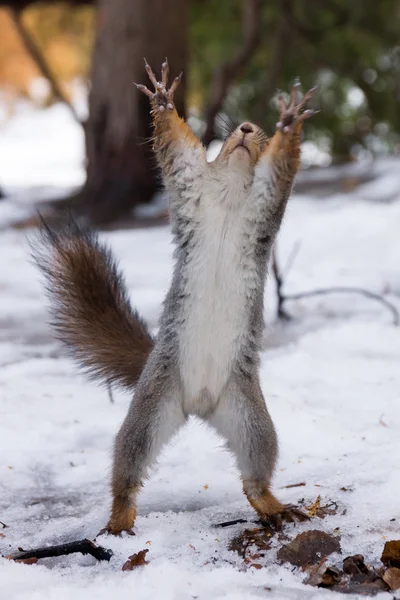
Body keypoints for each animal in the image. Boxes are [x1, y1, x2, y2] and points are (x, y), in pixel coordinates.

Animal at [34, 59, 318, 536]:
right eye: (230, 134)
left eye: (259, 131)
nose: (244, 128)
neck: (232, 188)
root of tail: (201, 404)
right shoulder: (188, 181)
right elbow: (176, 144)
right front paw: (164, 100)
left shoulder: (267, 196)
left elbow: (281, 164)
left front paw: (289, 122)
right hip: (152, 406)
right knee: (129, 466)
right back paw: (119, 518)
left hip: (250, 419)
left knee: (254, 474)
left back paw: (271, 504)